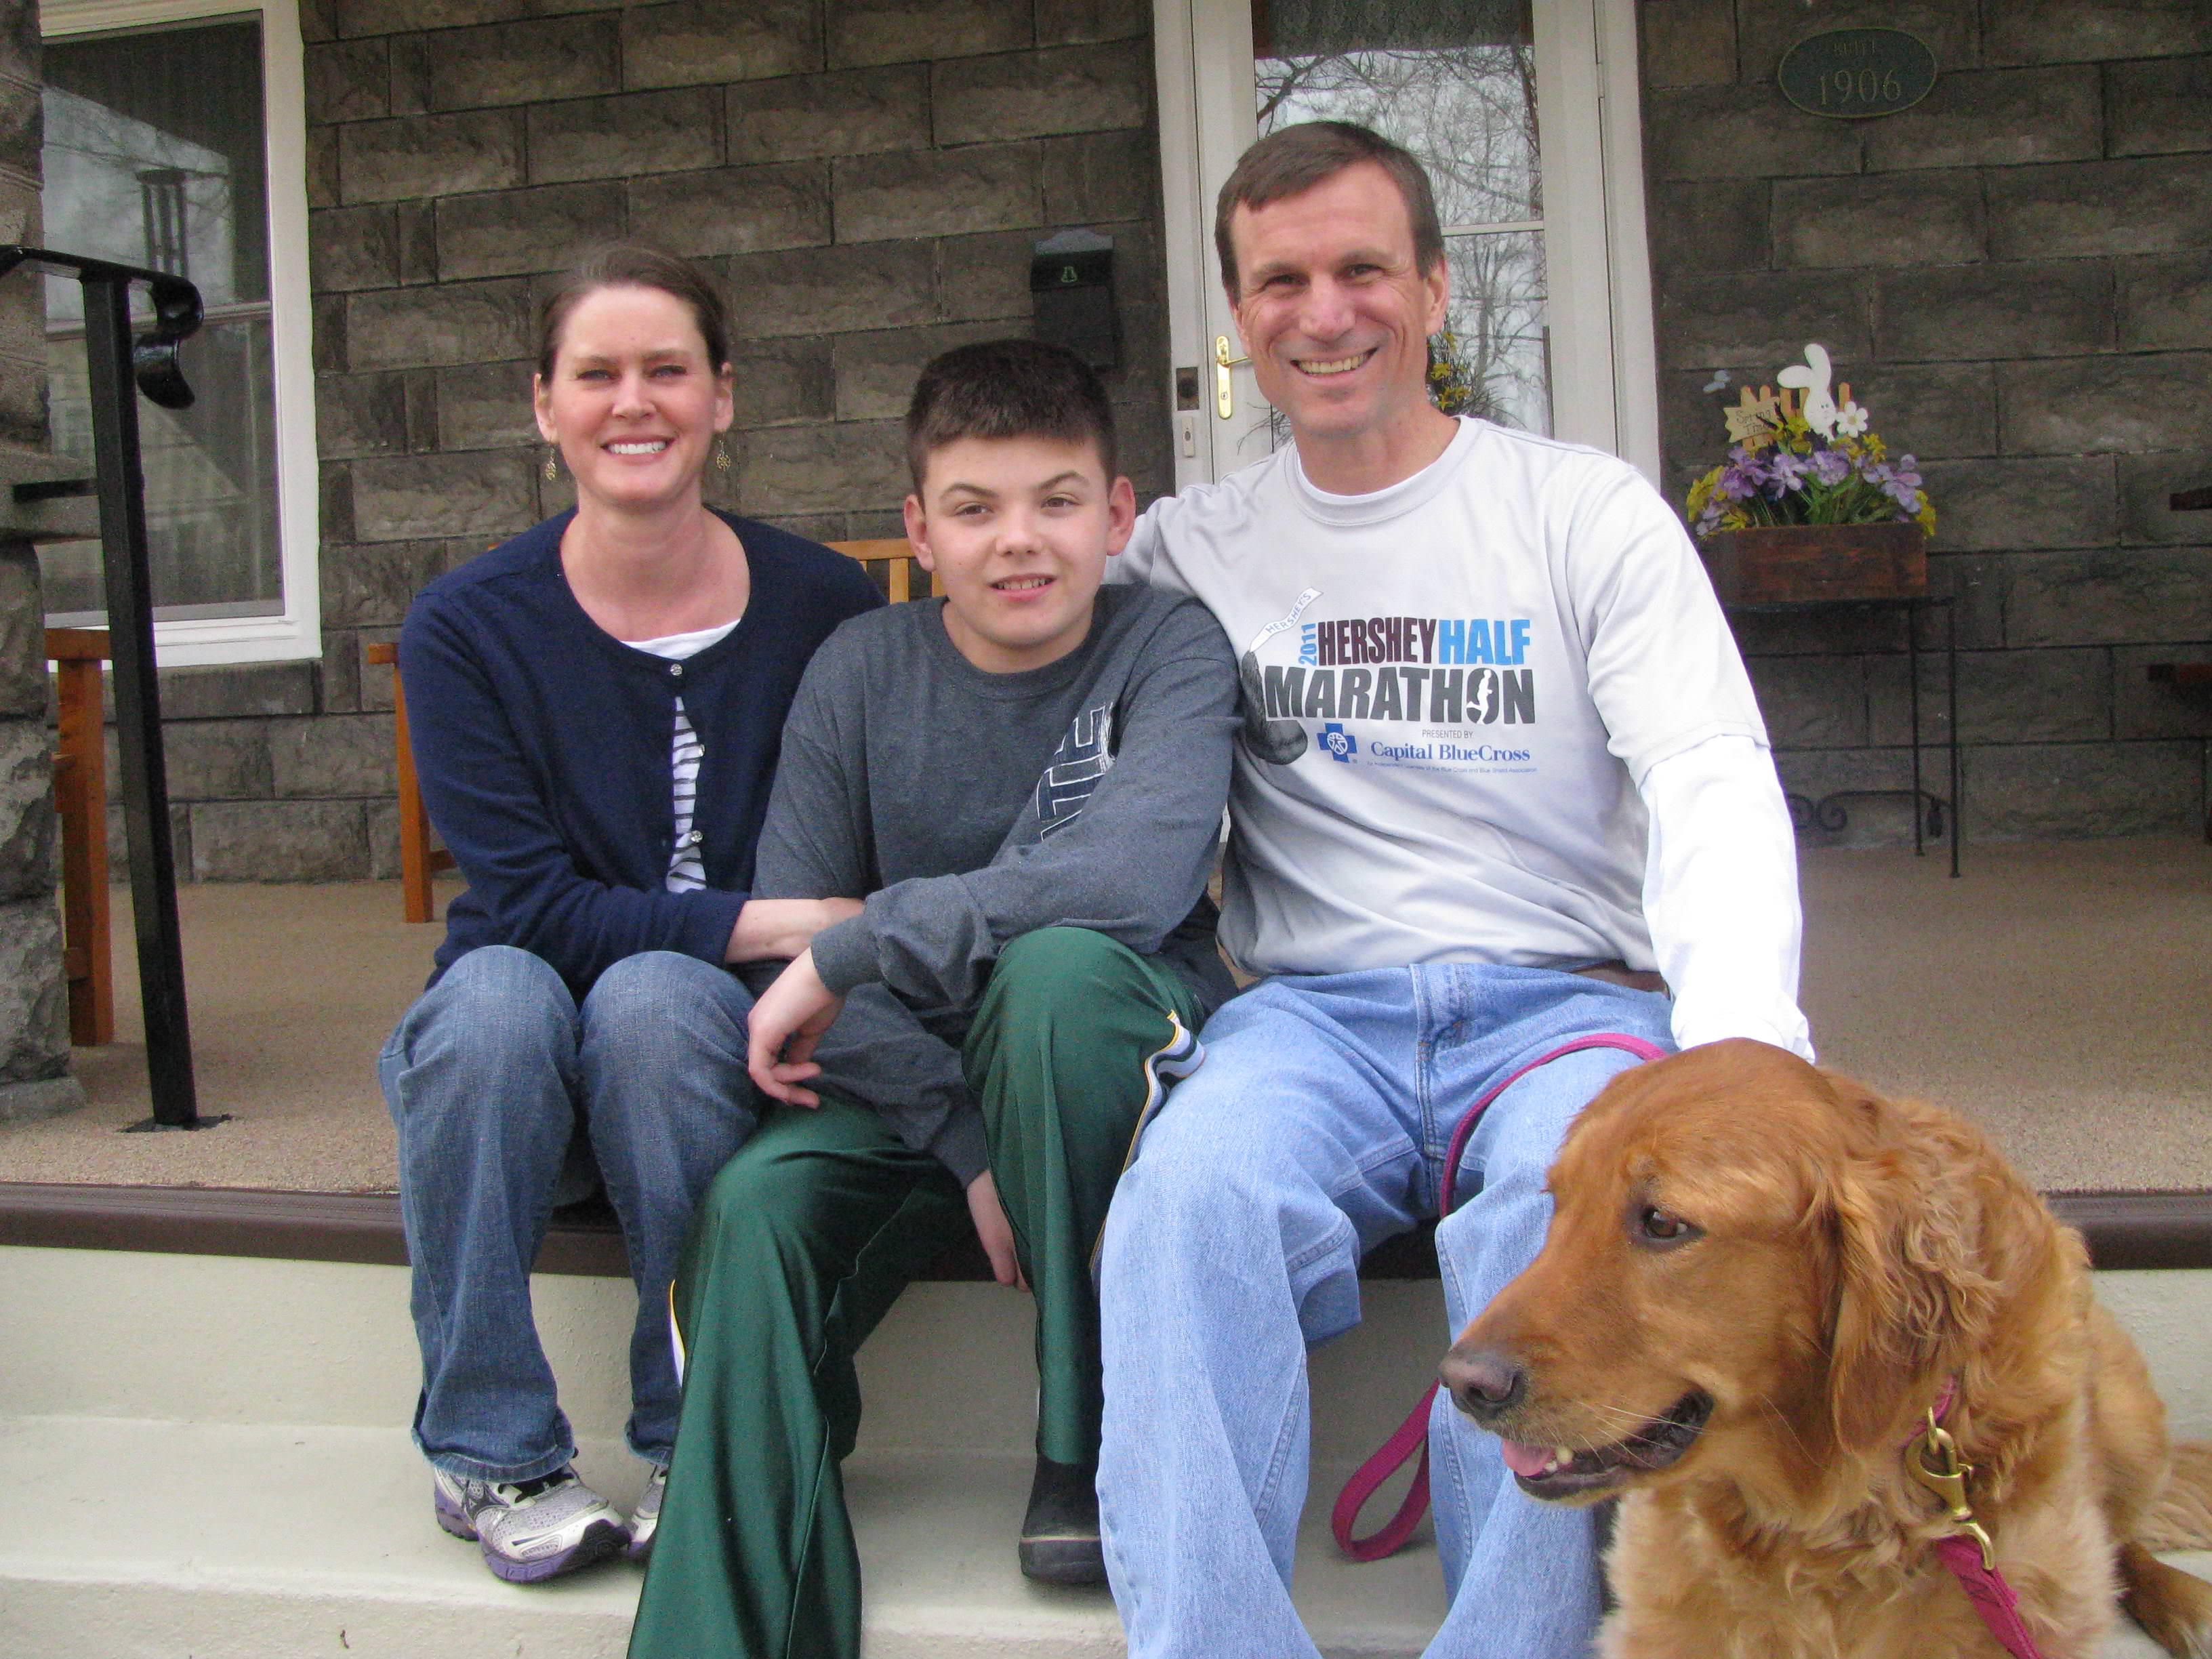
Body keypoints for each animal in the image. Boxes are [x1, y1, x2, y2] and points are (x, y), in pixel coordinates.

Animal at [1442, 1044, 2212, 1654]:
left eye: (1662, 1222)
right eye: (1559, 1204)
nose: (1462, 1383)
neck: (1820, 1513)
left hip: (2129, 1426)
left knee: (2122, 1539)